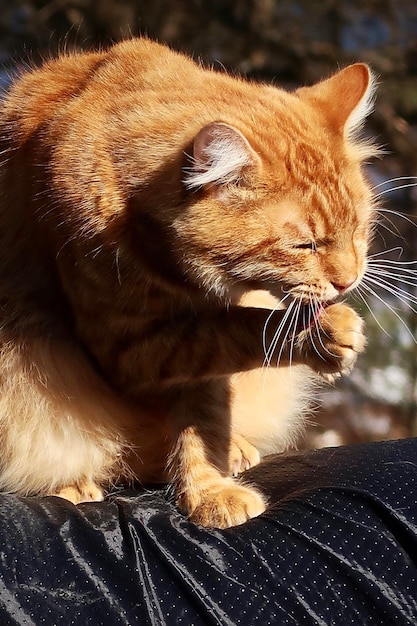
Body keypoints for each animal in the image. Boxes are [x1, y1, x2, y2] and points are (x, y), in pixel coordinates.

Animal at [0, 39, 374, 528]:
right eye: (304, 246)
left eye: (358, 230)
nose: (347, 282)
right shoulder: (129, 348)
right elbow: (248, 327)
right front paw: (322, 333)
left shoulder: (196, 356)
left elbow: (204, 415)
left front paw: (210, 488)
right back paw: (71, 484)